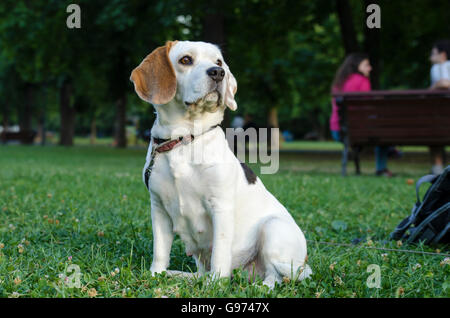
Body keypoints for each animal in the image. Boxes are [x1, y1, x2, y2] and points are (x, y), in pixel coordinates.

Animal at [130, 39, 312, 288]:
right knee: (201, 273)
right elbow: (160, 251)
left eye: (218, 61)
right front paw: (155, 275)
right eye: (185, 60)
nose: (218, 72)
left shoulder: (220, 206)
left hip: (273, 228)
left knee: (275, 276)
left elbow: (219, 252)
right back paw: (179, 275)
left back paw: (259, 288)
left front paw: (216, 285)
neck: (184, 138)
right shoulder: (158, 208)